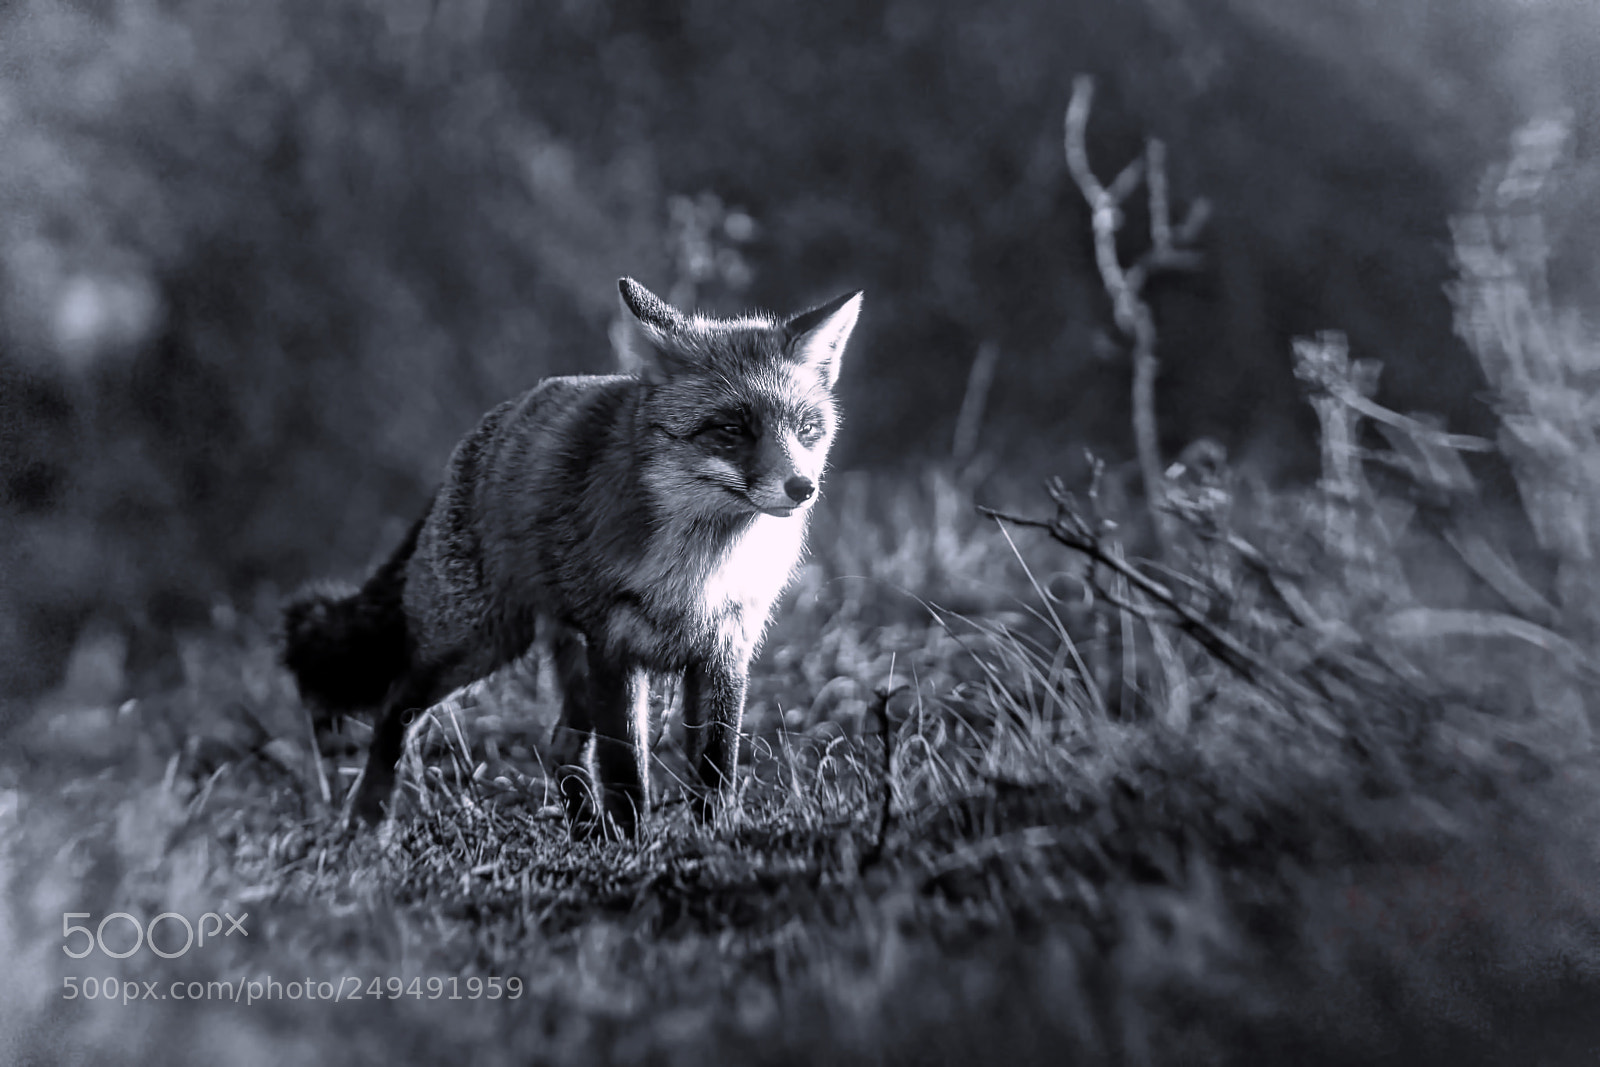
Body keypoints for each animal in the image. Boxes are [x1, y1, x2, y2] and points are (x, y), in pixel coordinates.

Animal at [282, 277, 862, 837]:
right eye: (732, 430)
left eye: (807, 429)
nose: (802, 488)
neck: (699, 571)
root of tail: (484, 433)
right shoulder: (615, 648)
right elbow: (627, 770)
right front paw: (635, 847)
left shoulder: (724, 651)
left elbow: (716, 768)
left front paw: (715, 837)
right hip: (477, 644)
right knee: (396, 707)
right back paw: (372, 818)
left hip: (564, 659)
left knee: (561, 745)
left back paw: (586, 833)